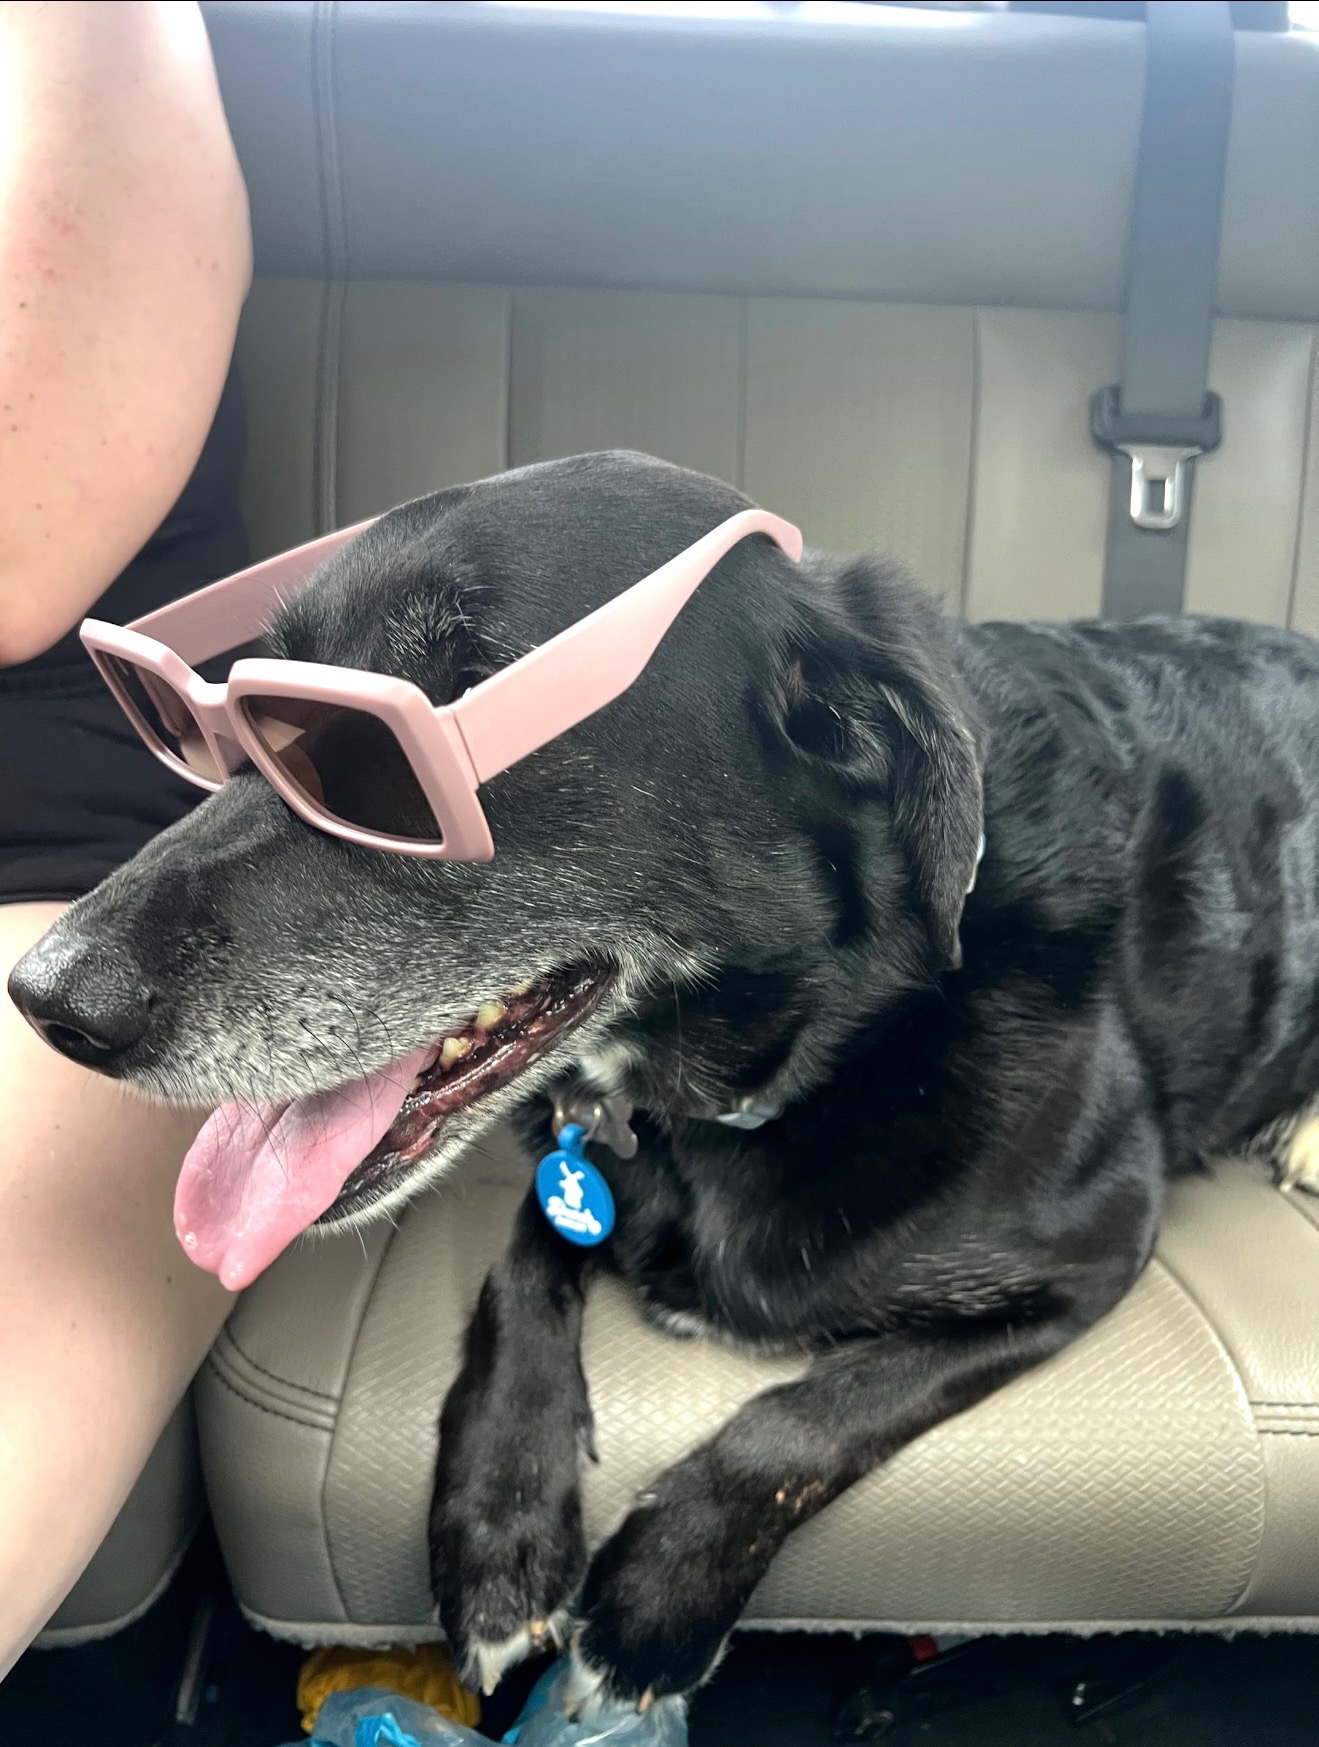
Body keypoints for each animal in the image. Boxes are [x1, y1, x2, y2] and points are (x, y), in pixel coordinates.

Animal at [11, 450, 1319, 1708]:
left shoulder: (1086, 1260)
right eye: (229, 726)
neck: (802, 1046)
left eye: (384, 755)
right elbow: (523, 1261)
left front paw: (653, 1598)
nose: (45, 997)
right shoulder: (563, 1150)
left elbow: (809, 1413)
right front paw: (498, 1529)